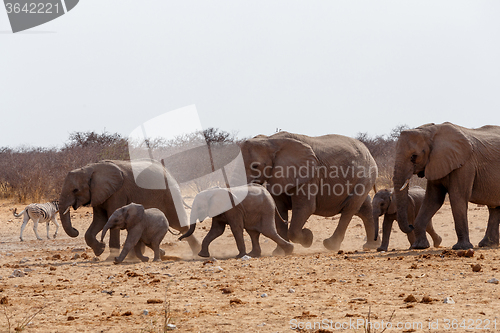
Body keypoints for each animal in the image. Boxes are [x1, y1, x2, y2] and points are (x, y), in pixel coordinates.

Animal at [58, 160, 199, 255]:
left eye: (75, 190)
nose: (76, 230)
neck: (89, 169)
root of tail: (167, 171)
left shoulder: (118, 192)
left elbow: (110, 218)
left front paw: (109, 256)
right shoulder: (98, 193)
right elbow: (100, 220)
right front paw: (100, 250)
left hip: (169, 194)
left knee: (178, 223)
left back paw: (197, 253)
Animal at [240, 131, 376, 250]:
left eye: (255, 166)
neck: (270, 140)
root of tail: (369, 152)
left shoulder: (309, 175)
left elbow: (305, 208)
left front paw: (308, 237)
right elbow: (280, 209)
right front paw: (279, 253)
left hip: (365, 176)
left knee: (349, 209)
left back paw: (330, 245)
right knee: (363, 207)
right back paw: (371, 245)